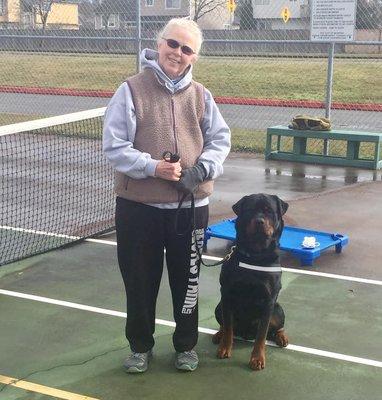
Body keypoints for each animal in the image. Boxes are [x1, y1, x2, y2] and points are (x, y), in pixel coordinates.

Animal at [212, 192, 290, 370]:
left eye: (269, 211)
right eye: (249, 210)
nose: (259, 221)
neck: (255, 255)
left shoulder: (268, 300)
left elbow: (262, 334)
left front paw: (257, 358)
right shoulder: (227, 294)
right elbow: (228, 327)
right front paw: (225, 348)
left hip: (278, 309)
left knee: (276, 328)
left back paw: (282, 337)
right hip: (219, 307)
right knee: (226, 324)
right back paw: (219, 334)